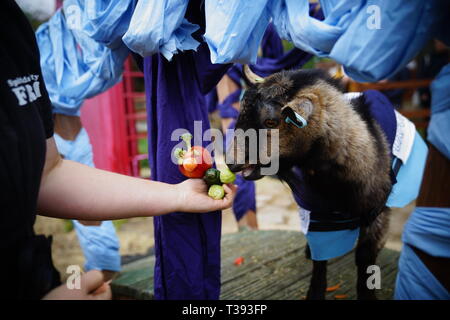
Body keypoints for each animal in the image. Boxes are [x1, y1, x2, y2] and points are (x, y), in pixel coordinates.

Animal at [229, 65, 394, 300]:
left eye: (271, 122)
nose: (231, 162)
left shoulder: (379, 212)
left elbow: (365, 257)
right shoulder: (317, 215)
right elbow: (320, 257)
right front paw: (315, 292)